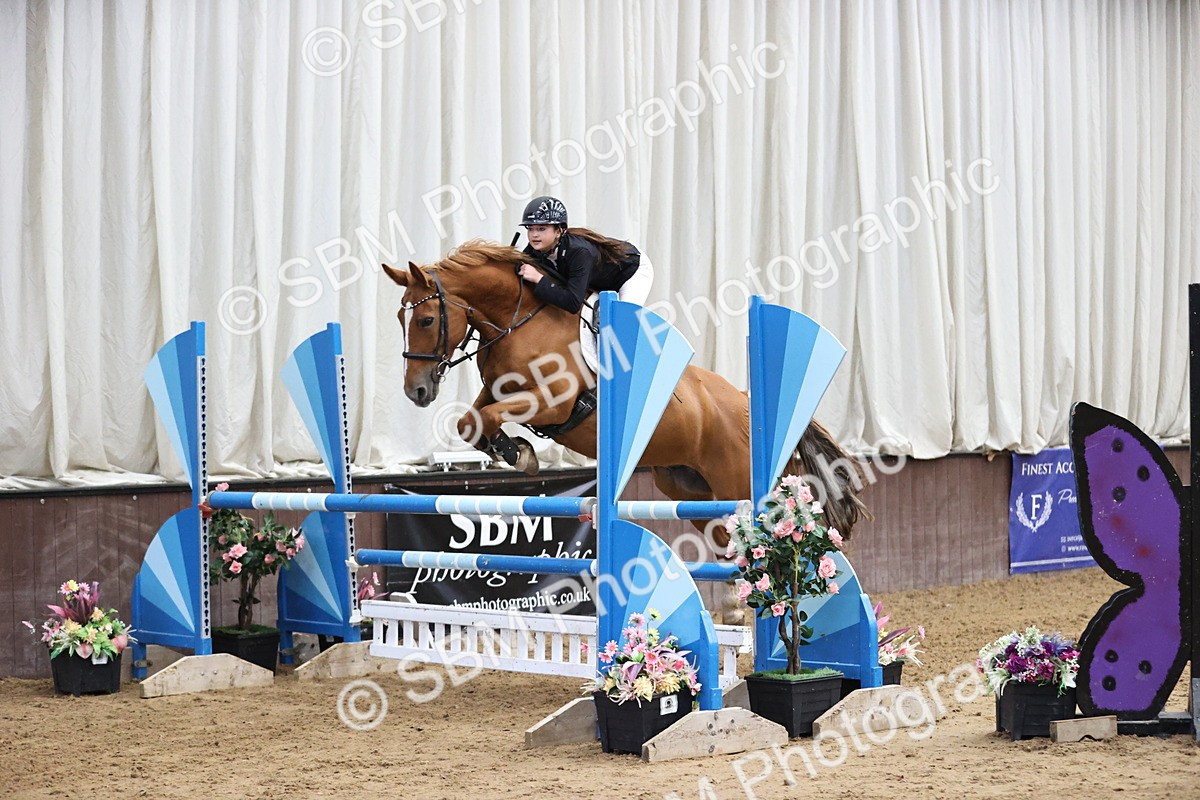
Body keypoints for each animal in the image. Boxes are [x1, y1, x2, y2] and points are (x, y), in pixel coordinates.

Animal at [382, 240, 868, 548]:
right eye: (400, 319)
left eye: (426, 319)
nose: (416, 391)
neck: (519, 320)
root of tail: (747, 403)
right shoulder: (495, 392)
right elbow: (472, 420)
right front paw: (514, 452)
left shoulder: (554, 402)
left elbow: (491, 417)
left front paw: (520, 454)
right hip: (691, 492)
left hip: (737, 483)